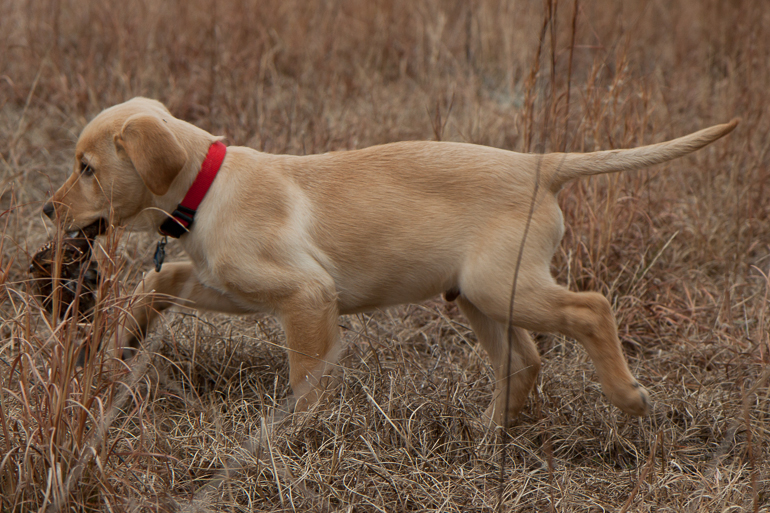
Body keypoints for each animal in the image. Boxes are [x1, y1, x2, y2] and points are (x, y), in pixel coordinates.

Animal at [45, 98, 736, 426]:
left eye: (87, 169)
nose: (48, 211)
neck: (208, 184)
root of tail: (540, 164)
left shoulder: (305, 294)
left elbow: (306, 375)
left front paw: (299, 437)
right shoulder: (228, 284)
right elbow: (157, 279)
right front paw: (113, 348)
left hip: (503, 285)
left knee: (591, 308)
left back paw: (629, 398)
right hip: (479, 295)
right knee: (524, 360)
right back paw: (487, 434)